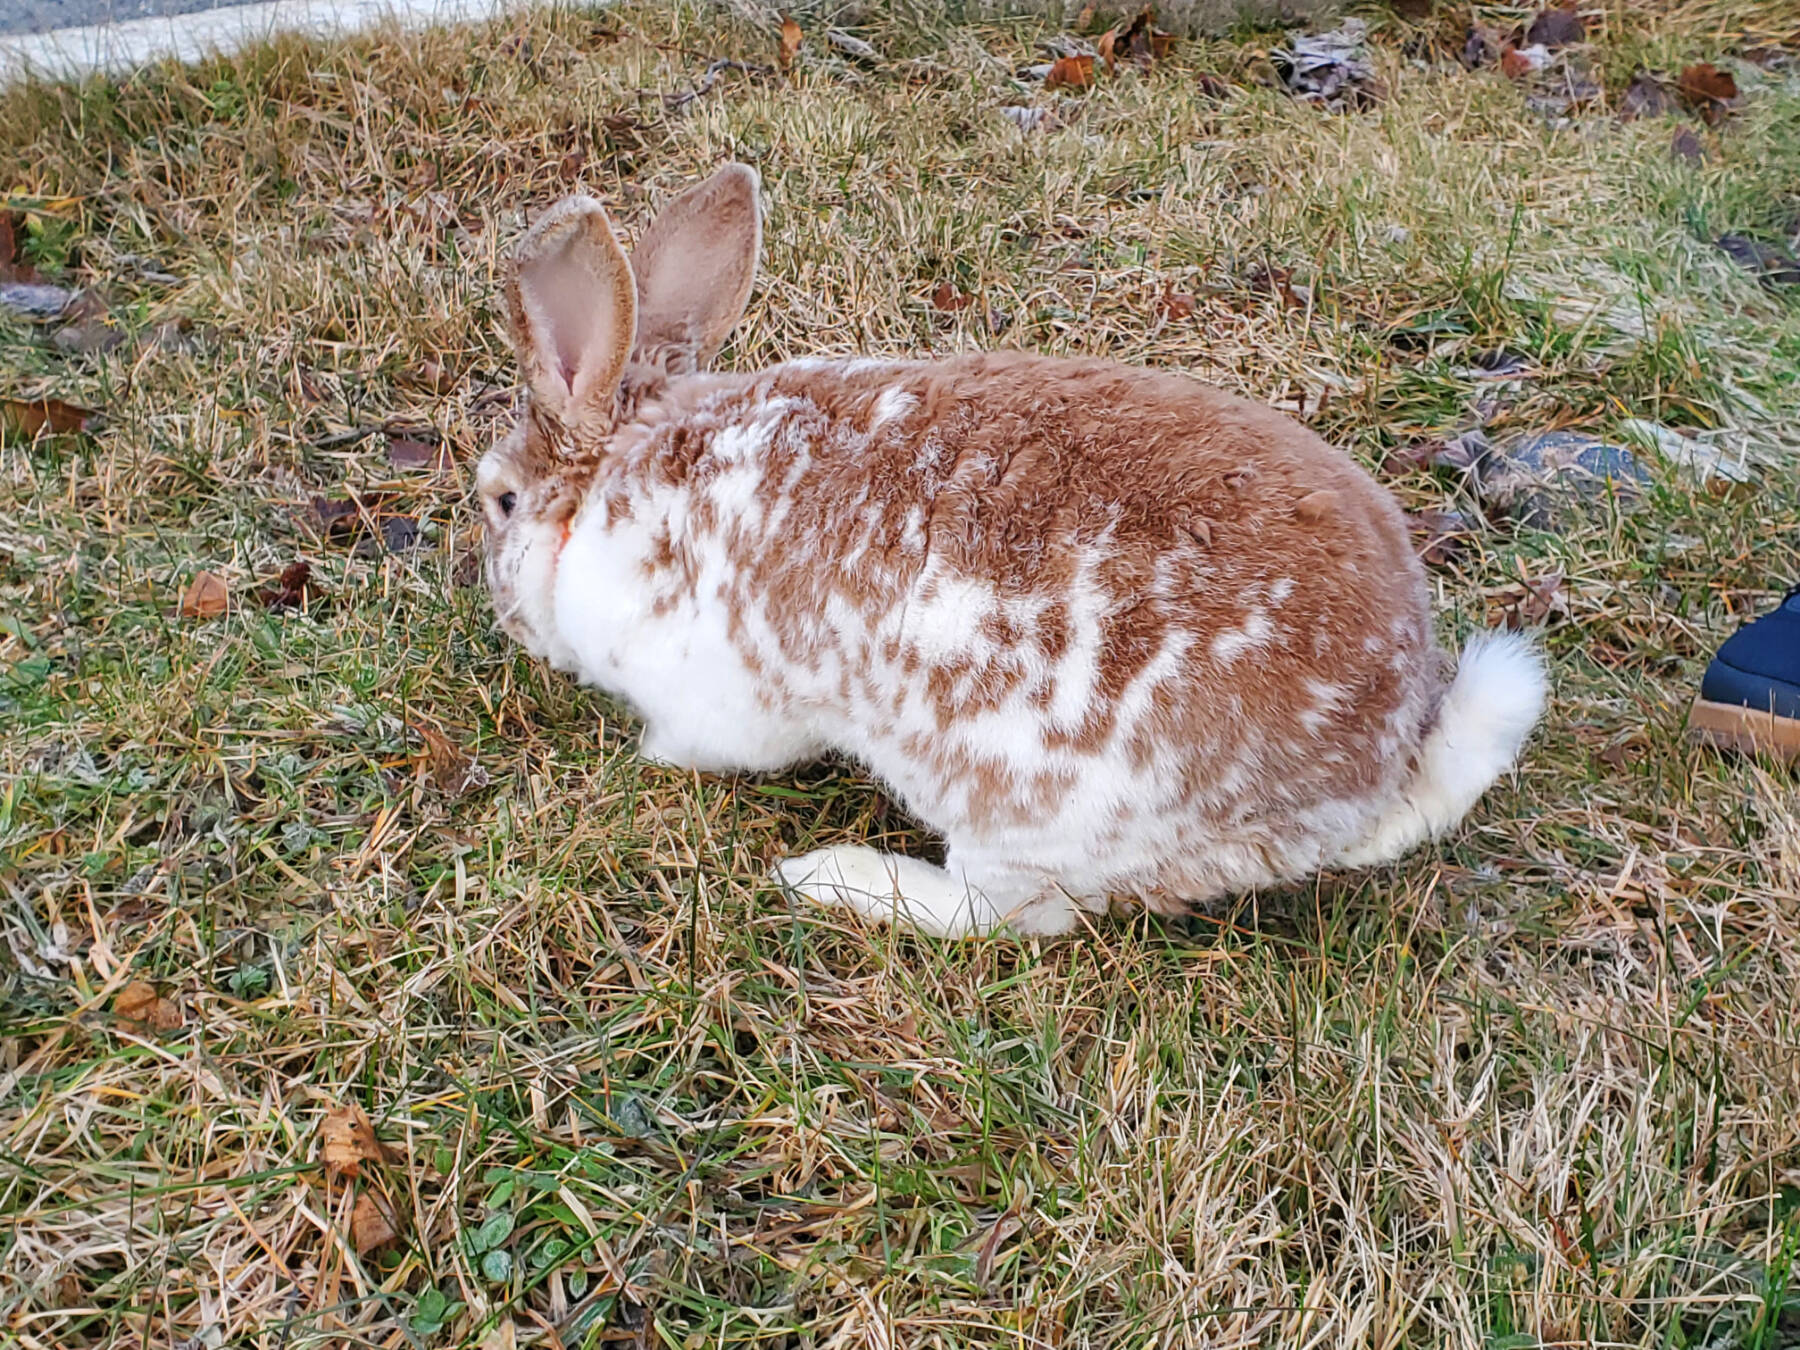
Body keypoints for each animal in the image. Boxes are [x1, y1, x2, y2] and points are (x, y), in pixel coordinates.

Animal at [478, 161, 1548, 943]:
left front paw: (652, 755)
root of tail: (1365, 785)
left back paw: (830, 879)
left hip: (1025, 823)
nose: (506, 625)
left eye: (498, 500)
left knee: (1004, 918)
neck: (612, 484)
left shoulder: (721, 699)